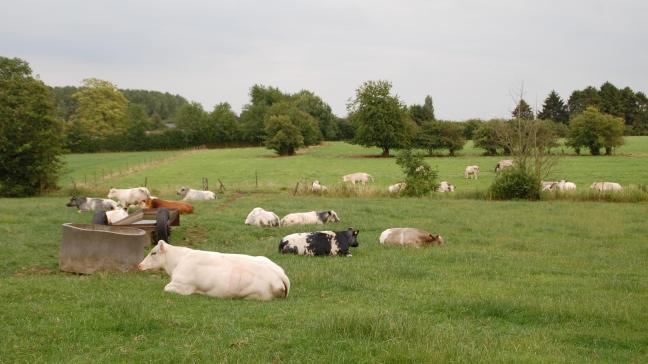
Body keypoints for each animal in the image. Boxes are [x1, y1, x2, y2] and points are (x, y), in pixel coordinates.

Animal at [139, 242, 292, 302]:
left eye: (153, 253)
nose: (139, 265)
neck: (179, 259)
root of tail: (280, 274)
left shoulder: (181, 284)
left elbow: (166, 288)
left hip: (255, 295)